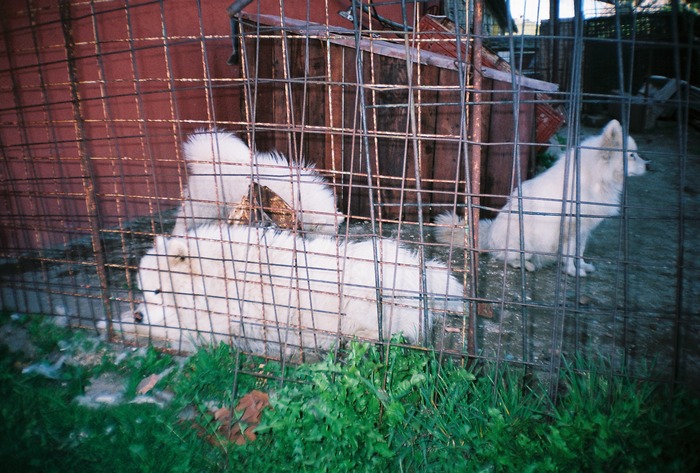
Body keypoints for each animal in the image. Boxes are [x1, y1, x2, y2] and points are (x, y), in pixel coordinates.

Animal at [434, 119, 648, 276]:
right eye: (632, 155)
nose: (649, 165)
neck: (596, 178)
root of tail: (489, 232)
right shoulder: (570, 228)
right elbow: (570, 253)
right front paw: (572, 271)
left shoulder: (583, 230)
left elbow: (579, 252)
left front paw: (582, 266)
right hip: (524, 244)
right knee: (504, 257)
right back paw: (525, 265)